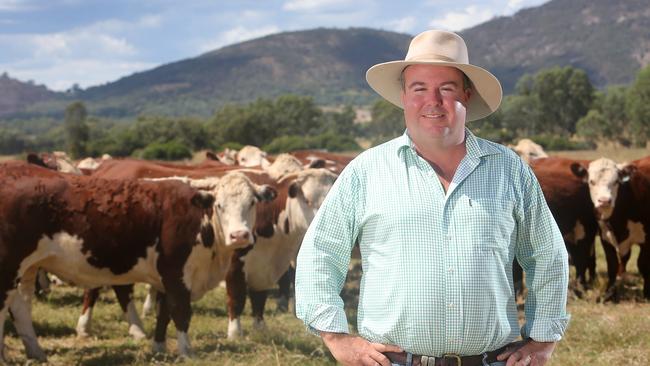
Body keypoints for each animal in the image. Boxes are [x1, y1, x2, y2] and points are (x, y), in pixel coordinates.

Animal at [568, 157, 644, 300]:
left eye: (616, 181)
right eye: (591, 181)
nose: (604, 201)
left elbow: (643, 262)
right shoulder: (605, 237)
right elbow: (611, 264)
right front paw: (609, 294)